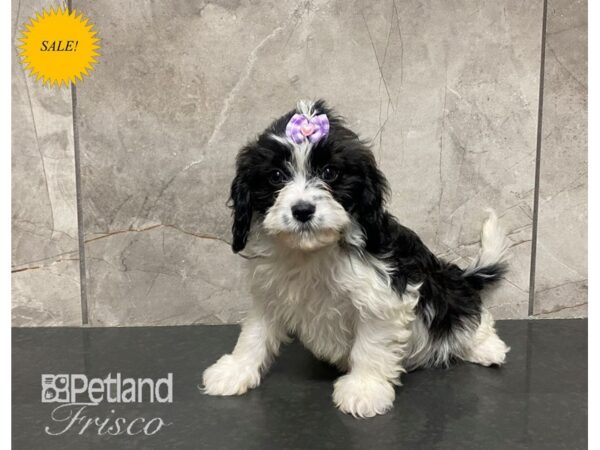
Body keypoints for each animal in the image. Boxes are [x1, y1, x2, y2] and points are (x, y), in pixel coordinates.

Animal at [203, 99, 510, 418]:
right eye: (276, 176)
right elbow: (255, 333)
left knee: (469, 312)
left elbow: (370, 345)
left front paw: (364, 390)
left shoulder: (382, 296)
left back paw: (486, 347)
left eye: (329, 172)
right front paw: (235, 370)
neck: (312, 252)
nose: (302, 210)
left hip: (445, 289)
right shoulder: (270, 292)